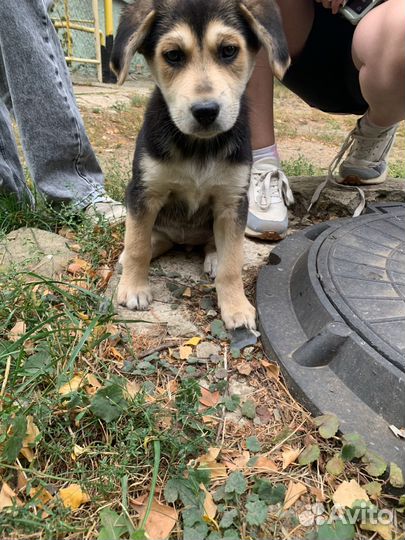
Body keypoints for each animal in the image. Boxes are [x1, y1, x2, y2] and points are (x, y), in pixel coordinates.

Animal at [109, 0, 288, 332]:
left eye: (229, 50)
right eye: (173, 55)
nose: (205, 111)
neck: (199, 147)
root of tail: (185, 241)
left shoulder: (232, 202)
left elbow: (233, 264)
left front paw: (236, 307)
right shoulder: (143, 192)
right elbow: (138, 244)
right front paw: (134, 288)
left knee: (215, 245)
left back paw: (213, 257)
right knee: (145, 241)